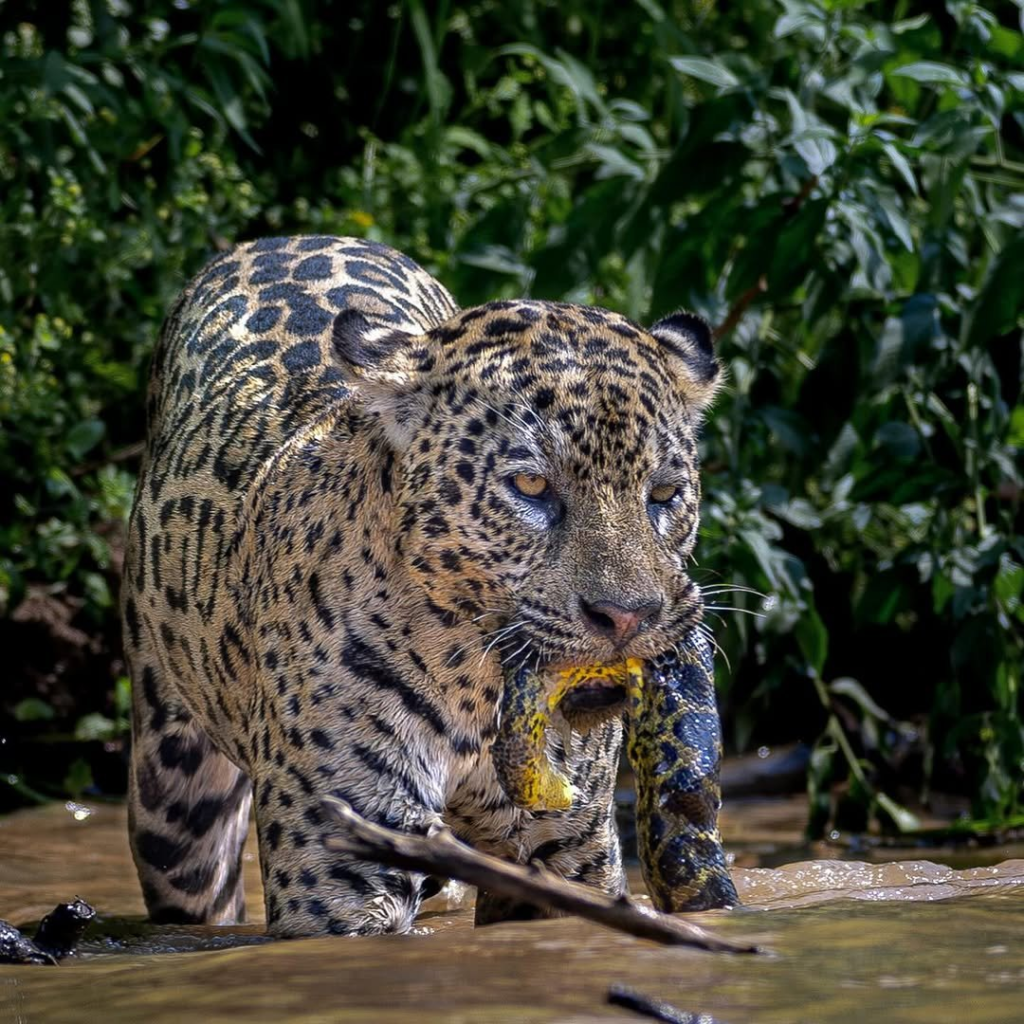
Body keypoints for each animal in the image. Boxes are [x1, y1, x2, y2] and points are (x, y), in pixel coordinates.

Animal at [121, 234, 721, 937]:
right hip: (175, 793)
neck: (475, 687)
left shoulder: (572, 851)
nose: (626, 617)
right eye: (532, 486)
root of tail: (281, 237)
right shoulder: (343, 868)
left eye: (665, 494)